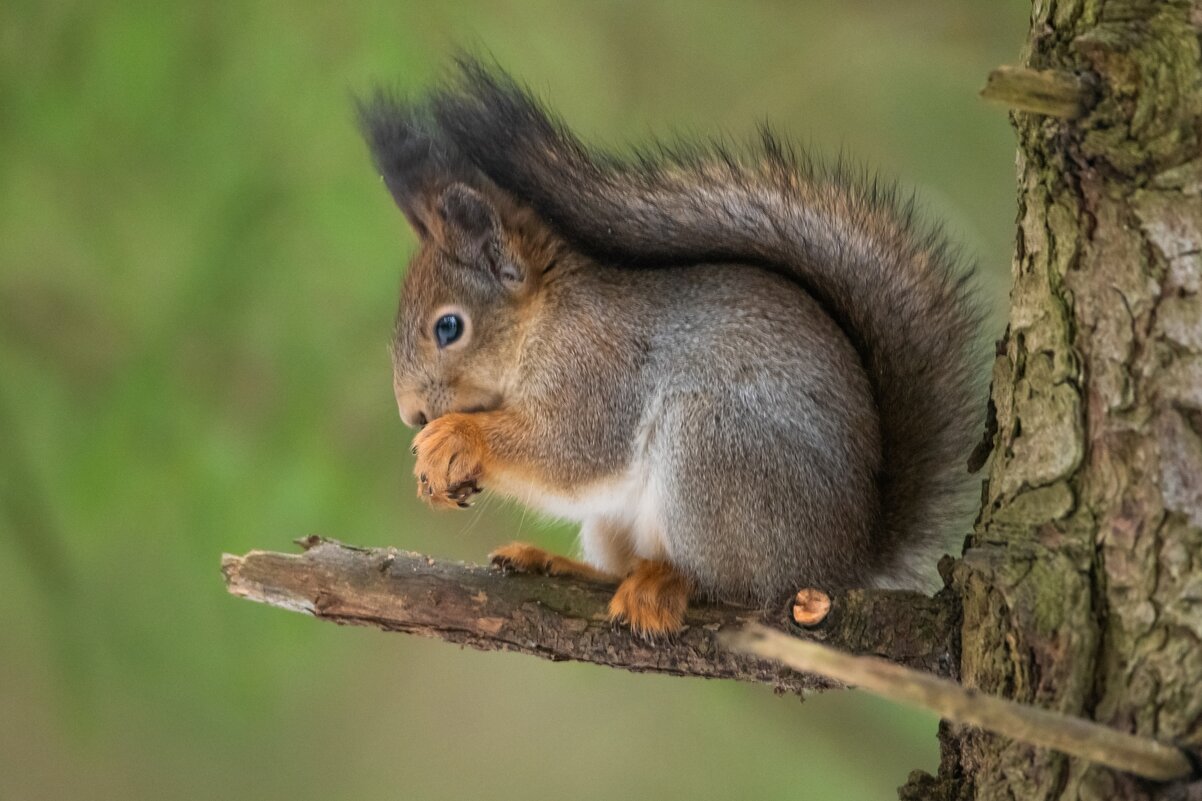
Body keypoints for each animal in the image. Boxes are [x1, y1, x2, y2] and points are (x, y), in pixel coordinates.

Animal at [358, 60, 985, 635]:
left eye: (448, 328)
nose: (411, 414)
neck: (543, 321)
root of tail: (843, 561)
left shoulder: (599, 367)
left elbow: (573, 448)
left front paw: (455, 438)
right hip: (625, 516)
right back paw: (557, 564)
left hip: (715, 453)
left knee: (739, 587)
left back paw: (668, 583)